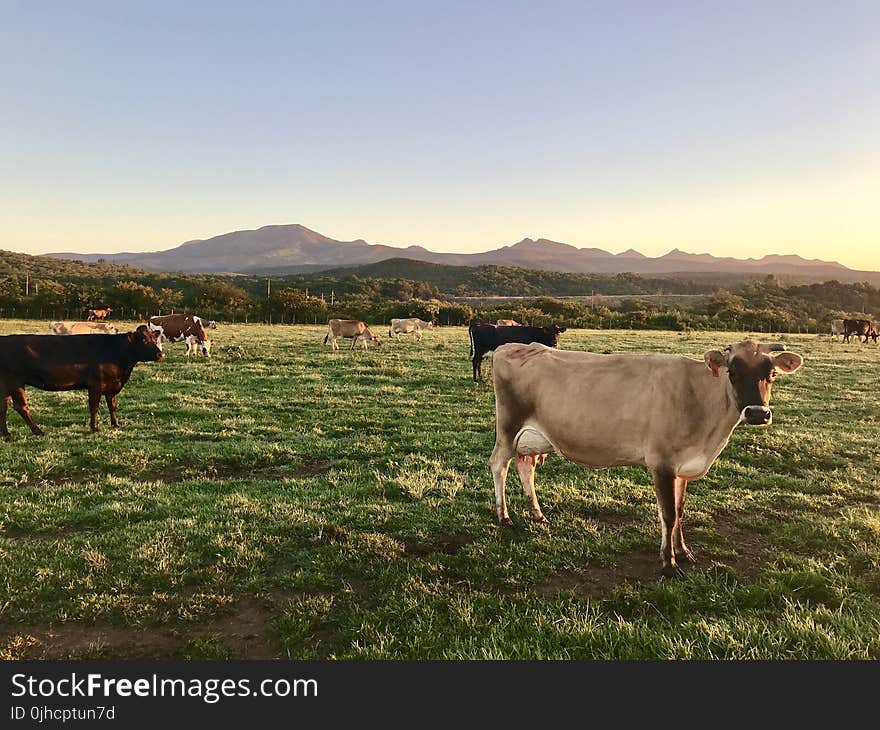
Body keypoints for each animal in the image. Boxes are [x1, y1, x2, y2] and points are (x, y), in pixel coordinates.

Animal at [0, 326, 164, 438]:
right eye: (143, 340)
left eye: (154, 339)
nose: (160, 354)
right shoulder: (96, 385)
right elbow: (94, 407)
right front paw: (95, 428)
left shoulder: (112, 386)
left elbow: (112, 406)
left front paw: (116, 425)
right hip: (15, 382)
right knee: (21, 407)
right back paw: (38, 431)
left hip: (6, 385)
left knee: (3, 406)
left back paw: (6, 434)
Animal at [488, 338, 804, 576]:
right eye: (733, 373)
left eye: (772, 375)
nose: (758, 413)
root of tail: (511, 345)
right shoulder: (661, 463)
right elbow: (668, 514)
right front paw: (669, 563)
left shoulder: (682, 466)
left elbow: (680, 510)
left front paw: (684, 551)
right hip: (508, 427)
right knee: (499, 465)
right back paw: (504, 517)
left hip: (534, 438)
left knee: (525, 467)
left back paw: (538, 514)